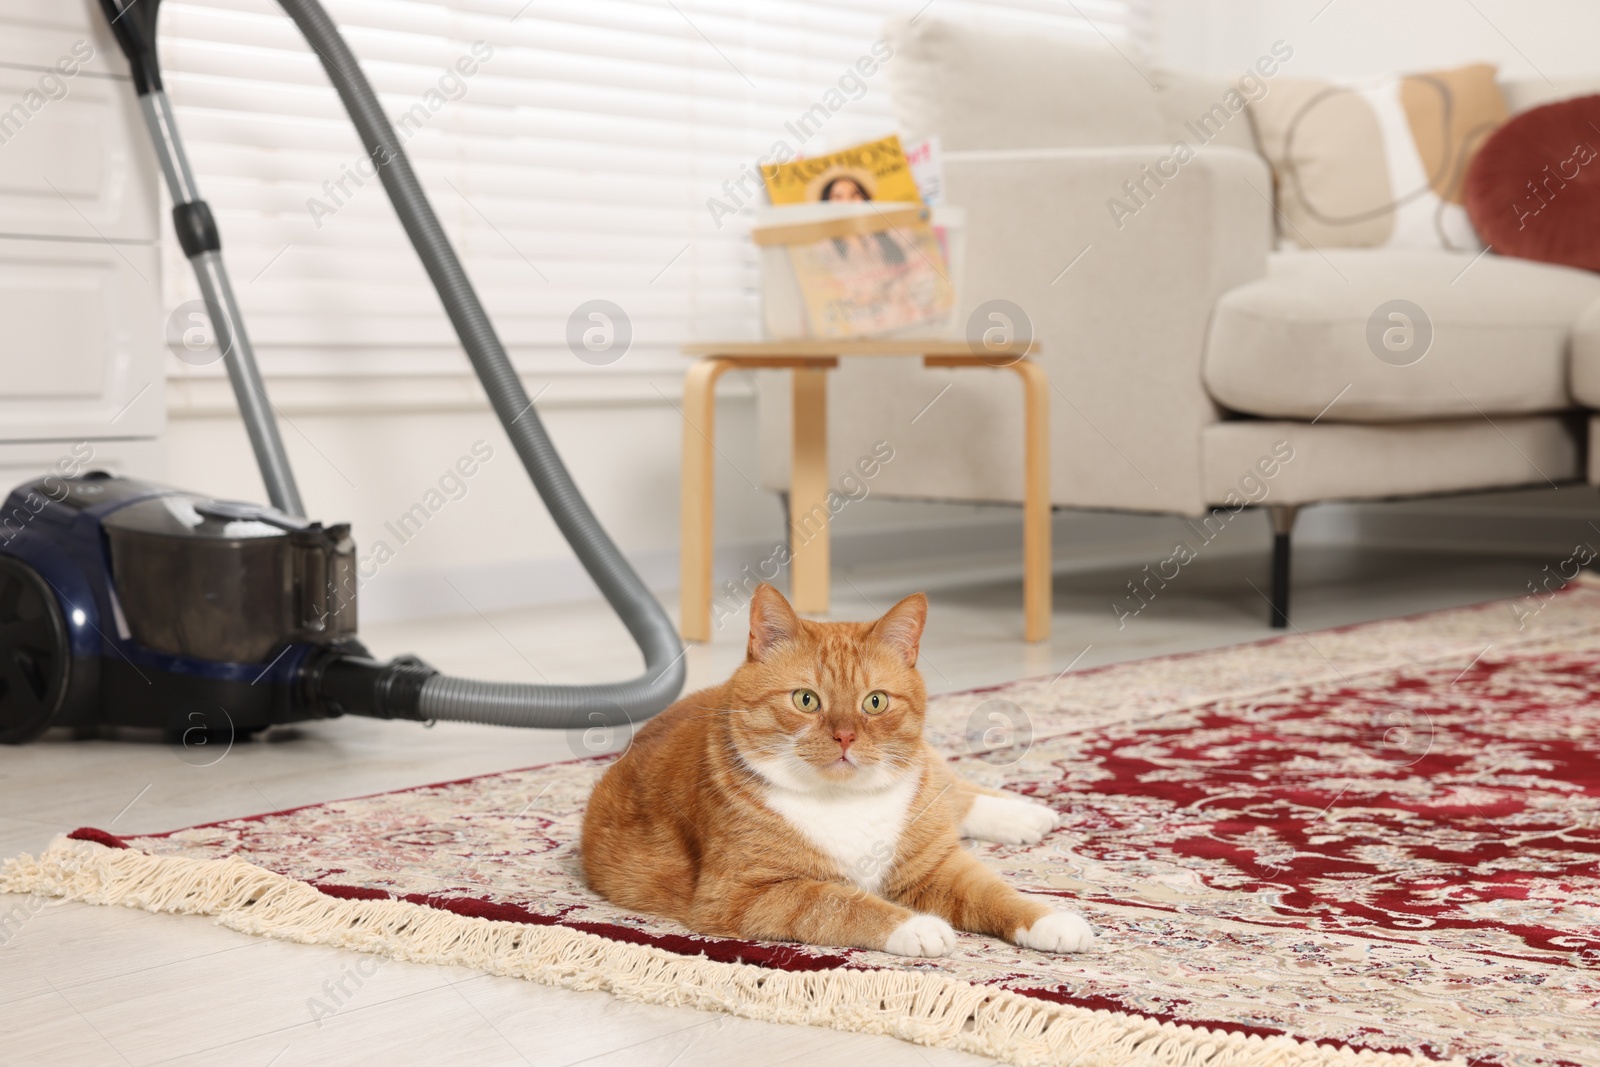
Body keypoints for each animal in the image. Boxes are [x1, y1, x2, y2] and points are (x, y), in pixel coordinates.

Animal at [582, 585, 1094, 959]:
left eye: (875, 702)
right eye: (806, 700)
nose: (845, 736)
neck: (845, 800)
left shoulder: (937, 864)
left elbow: (993, 892)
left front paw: (1050, 919)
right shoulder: (743, 894)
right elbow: (840, 903)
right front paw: (916, 925)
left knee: (948, 791)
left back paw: (1023, 815)